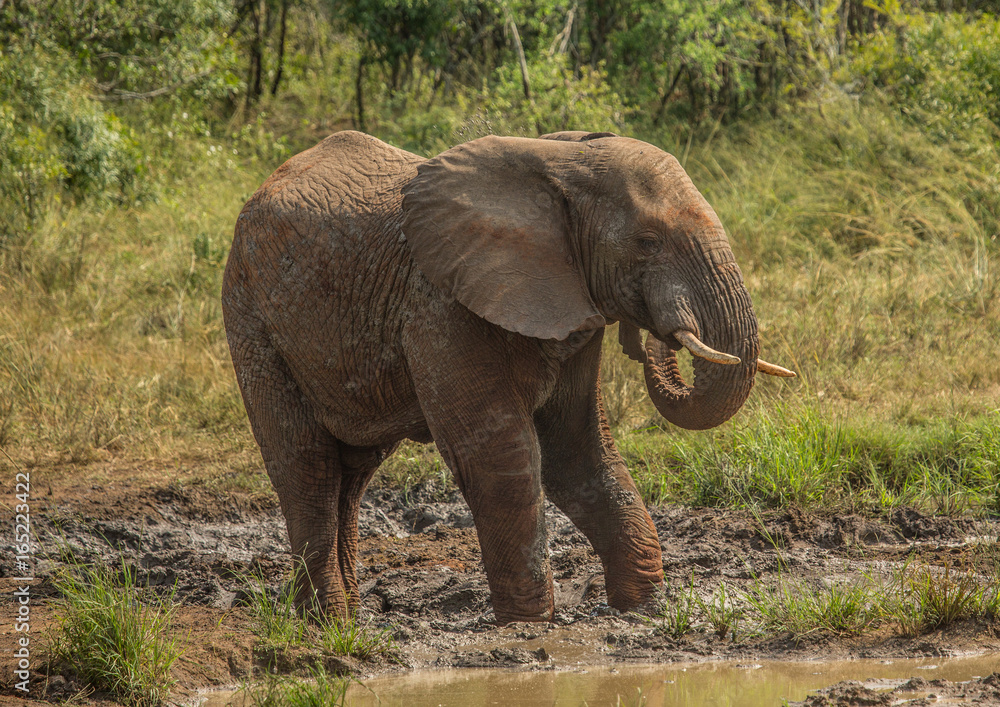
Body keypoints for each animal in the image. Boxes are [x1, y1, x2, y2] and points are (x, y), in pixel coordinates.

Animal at [221, 129, 795, 625]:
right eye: (647, 242)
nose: (659, 333)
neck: (561, 164)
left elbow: (578, 450)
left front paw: (644, 609)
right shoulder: (439, 306)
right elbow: (502, 455)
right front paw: (529, 624)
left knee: (352, 473)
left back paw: (348, 618)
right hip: (251, 317)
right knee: (307, 467)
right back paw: (330, 626)